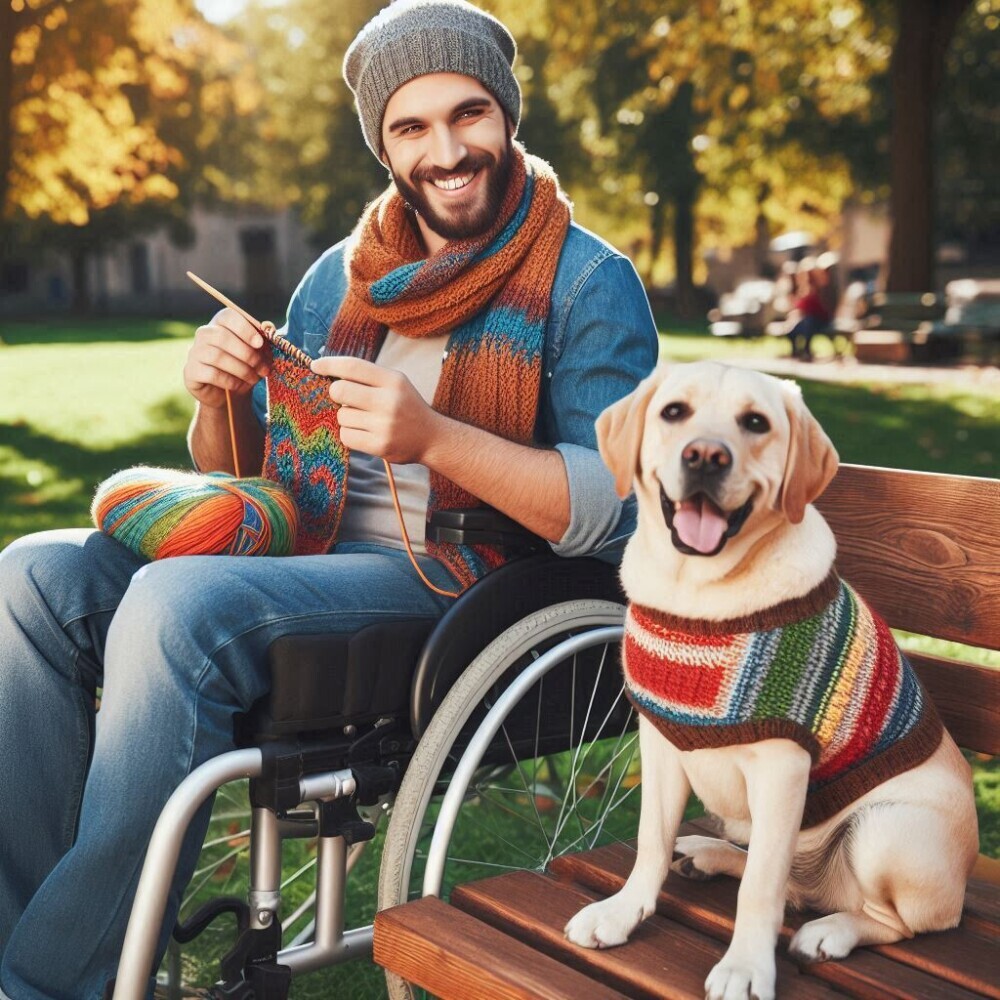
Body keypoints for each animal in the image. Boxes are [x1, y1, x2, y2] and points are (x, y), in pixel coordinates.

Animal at [568, 364, 980, 1000]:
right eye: (674, 412)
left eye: (756, 423)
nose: (706, 456)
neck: (698, 591)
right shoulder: (660, 741)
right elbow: (651, 841)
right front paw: (623, 911)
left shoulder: (783, 766)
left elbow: (759, 888)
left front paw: (745, 966)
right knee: (793, 884)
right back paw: (711, 853)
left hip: (884, 827)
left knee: (894, 921)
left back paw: (831, 931)